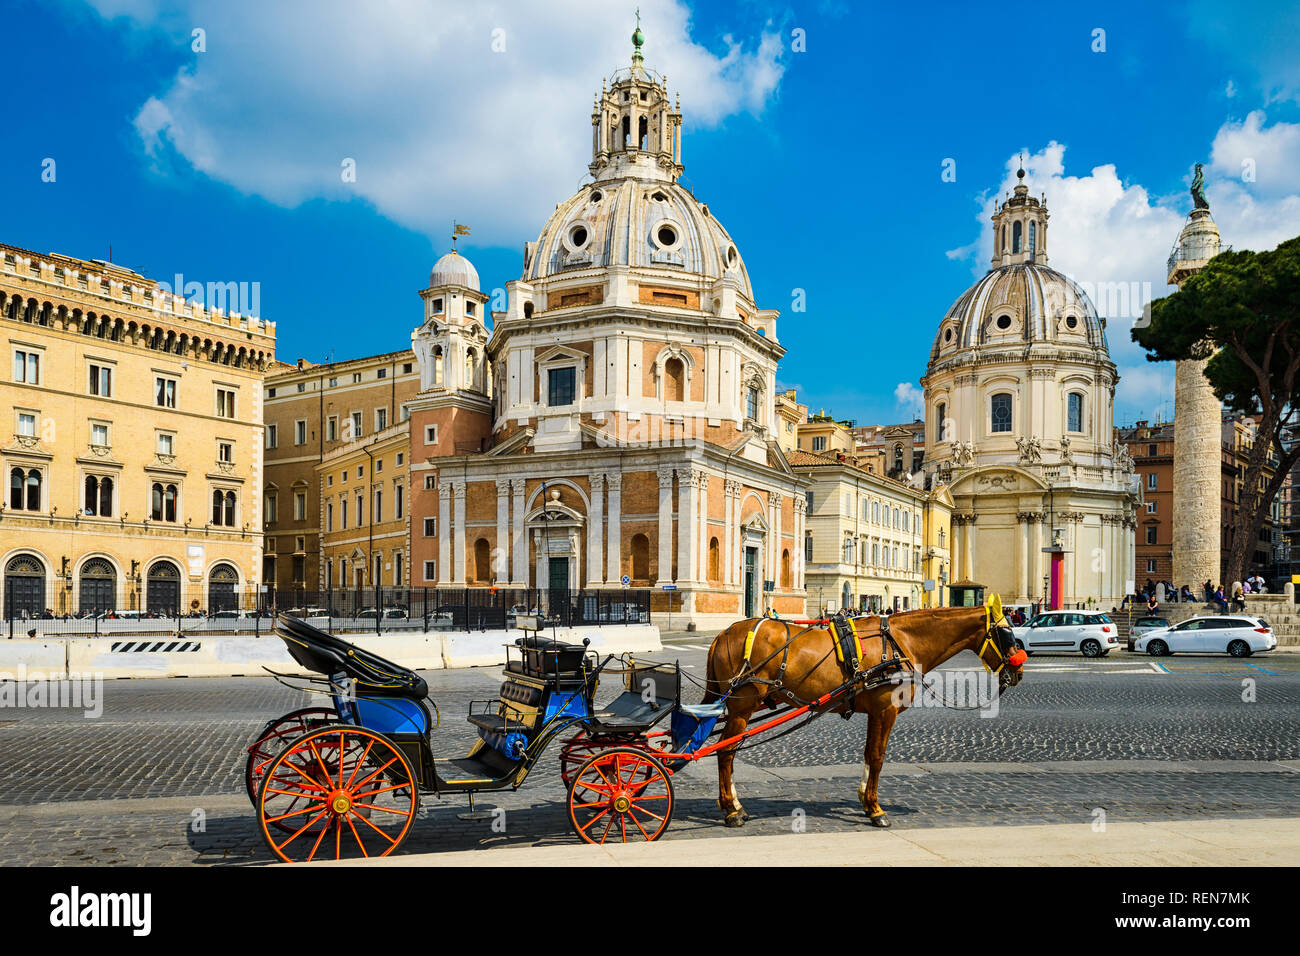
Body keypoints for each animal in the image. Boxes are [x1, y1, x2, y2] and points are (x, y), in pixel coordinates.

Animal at [707, 608, 1019, 827]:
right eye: (1007, 634)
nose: (1017, 672)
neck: (900, 643)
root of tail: (724, 633)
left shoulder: (875, 713)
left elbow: (869, 754)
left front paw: (866, 803)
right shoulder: (885, 711)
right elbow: (878, 757)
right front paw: (876, 809)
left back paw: (734, 805)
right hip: (742, 706)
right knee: (726, 752)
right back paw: (732, 810)